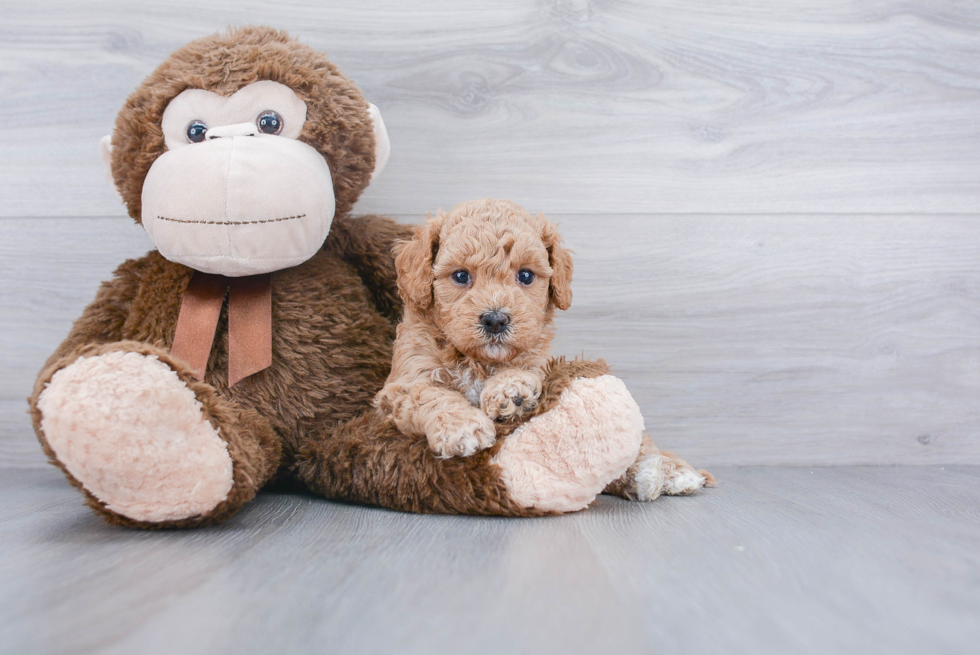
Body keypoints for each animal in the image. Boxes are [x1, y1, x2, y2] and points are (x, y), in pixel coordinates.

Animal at [378, 197, 576, 458]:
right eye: (461, 276)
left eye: (525, 275)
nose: (495, 320)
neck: (477, 361)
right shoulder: (404, 381)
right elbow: (429, 394)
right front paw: (461, 426)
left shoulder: (540, 359)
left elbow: (526, 366)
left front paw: (509, 389)